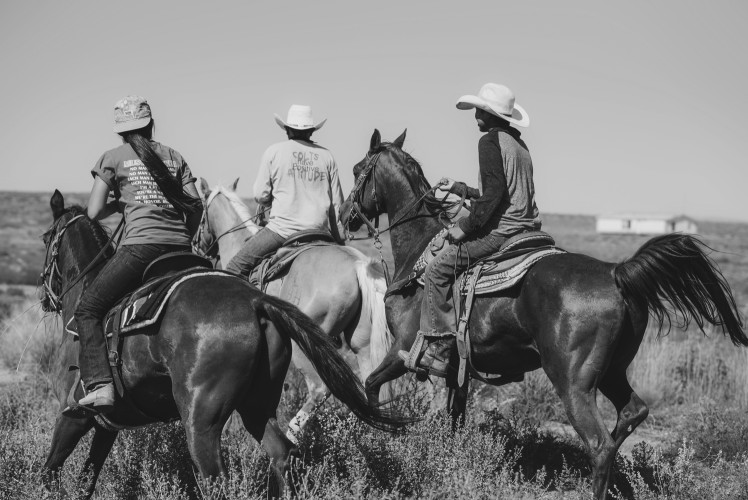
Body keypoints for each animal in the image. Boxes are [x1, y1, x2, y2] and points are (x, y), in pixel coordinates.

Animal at [191, 178, 392, 440]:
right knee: (371, 385)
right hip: (362, 343)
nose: (195, 245)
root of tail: (358, 264)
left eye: (201, 214)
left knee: (319, 389)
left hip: (304, 343)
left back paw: (291, 435)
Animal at [340, 130, 748, 500]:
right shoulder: (458, 369)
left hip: (572, 381)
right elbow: (454, 421)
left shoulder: (404, 350)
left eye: (358, 169)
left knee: (600, 443)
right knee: (631, 414)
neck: (419, 253)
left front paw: (375, 436)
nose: (345, 217)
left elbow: (371, 387)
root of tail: (616, 273)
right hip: (613, 371)